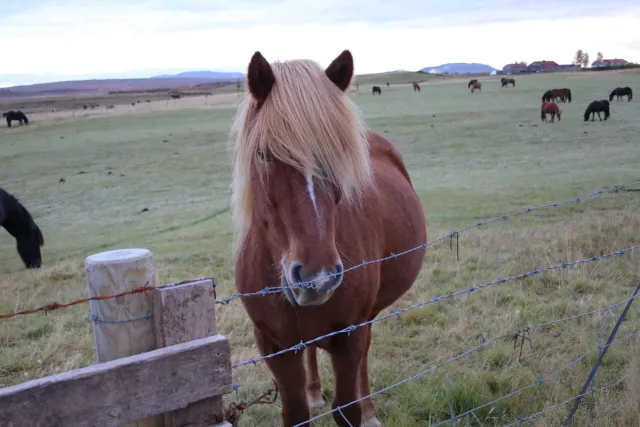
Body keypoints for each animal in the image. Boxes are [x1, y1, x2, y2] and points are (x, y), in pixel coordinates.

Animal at [229, 49, 427, 427]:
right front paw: (309, 395)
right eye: (263, 154)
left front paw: (361, 410)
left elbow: (347, 407)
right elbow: (295, 413)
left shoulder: (348, 335)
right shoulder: (273, 345)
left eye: (339, 155)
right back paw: (314, 389)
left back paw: (369, 410)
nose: (317, 278)